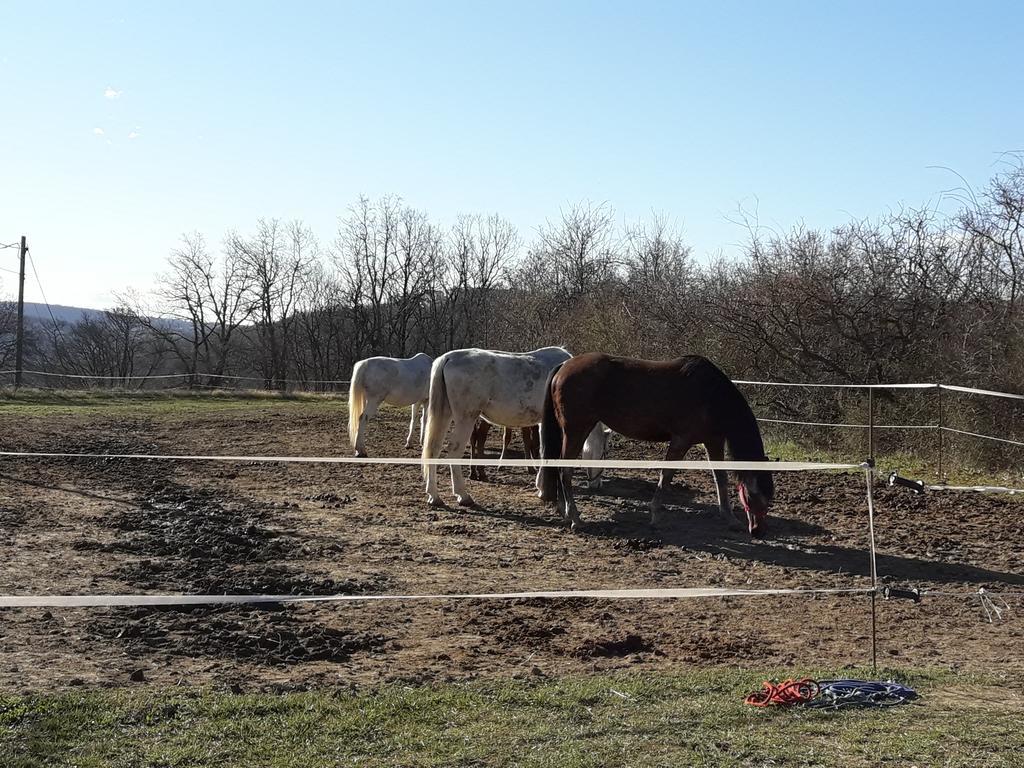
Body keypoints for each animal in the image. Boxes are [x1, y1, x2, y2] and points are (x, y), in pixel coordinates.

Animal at [421, 348, 606, 505]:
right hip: (466, 418)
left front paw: (540, 487)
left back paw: (434, 496)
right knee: (454, 452)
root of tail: (449, 357)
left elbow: (542, 451)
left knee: (433, 450)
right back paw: (463, 495)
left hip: (445, 414)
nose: (597, 484)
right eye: (603, 454)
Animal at [540, 354, 770, 536]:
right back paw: (575, 518)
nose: (758, 531)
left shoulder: (713, 441)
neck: (711, 394)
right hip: (576, 430)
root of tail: (564, 365)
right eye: (753, 496)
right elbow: (666, 476)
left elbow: (720, 478)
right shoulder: (681, 440)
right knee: (565, 470)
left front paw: (730, 519)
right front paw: (655, 516)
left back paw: (565, 512)